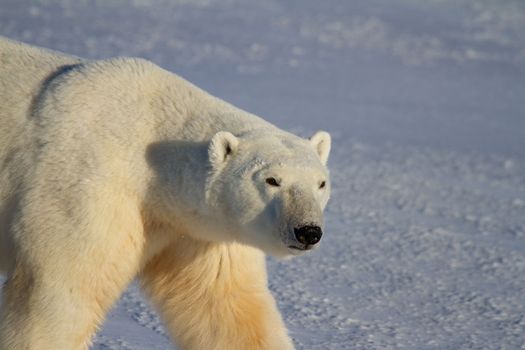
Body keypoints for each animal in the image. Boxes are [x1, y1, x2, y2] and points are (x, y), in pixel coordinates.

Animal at [0, 37, 328, 348]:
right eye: (272, 180)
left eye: (321, 183)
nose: (308, 231)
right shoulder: (86, 185)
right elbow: (62, 291)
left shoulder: (195, 232)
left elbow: (225, 307)